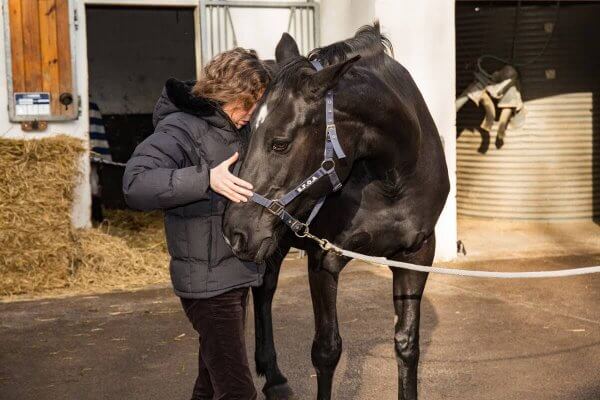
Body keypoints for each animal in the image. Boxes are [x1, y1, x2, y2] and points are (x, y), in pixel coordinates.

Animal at [224, 22, 450, 400]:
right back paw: (274, 378)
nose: (235, 232)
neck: (391, 176)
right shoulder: (324, 256)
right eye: (247, 131)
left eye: (280, 143)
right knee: (264, 291)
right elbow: (326, 350)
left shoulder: (416, 255)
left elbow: (406, 344)